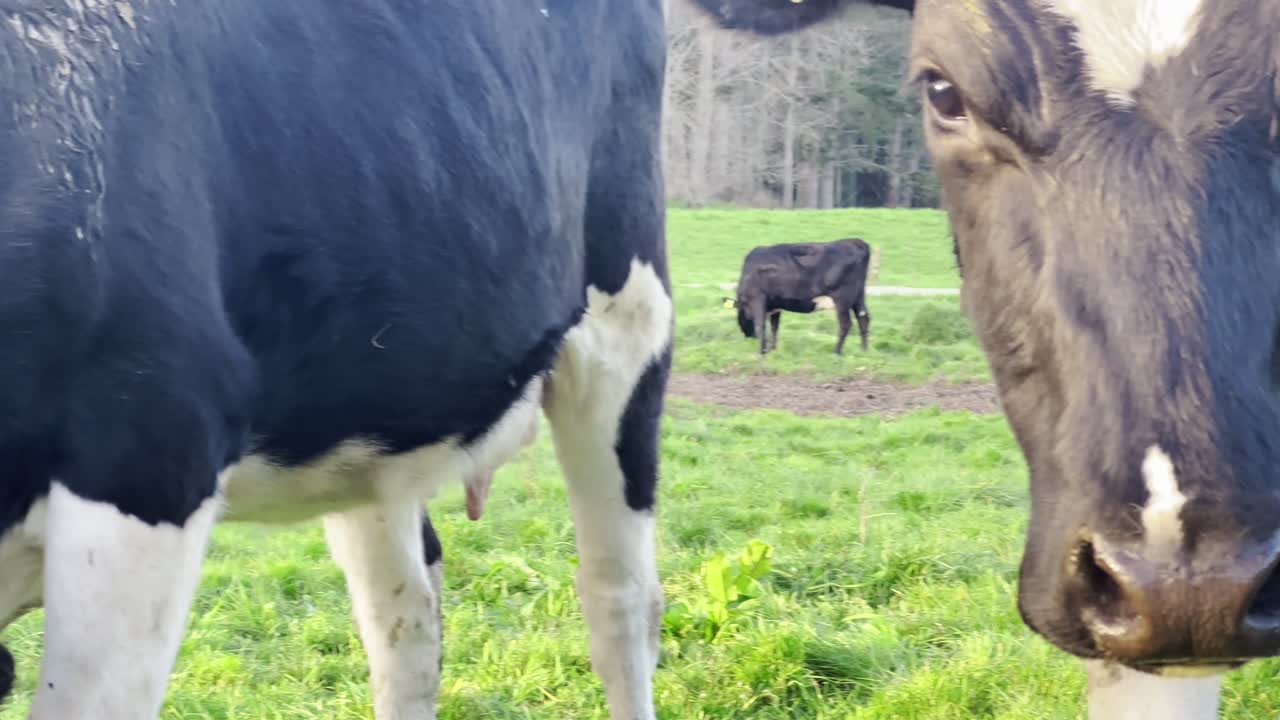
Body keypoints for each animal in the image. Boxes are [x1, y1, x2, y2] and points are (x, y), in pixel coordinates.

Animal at [725, 238, 872, 355]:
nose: (748, 337)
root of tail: (854, 242)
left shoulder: (757, 298)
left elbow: (760, 325)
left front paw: (762, 352)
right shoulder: (775, 304)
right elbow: (774, 327)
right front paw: (773, 349)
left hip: (842, 299)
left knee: (845, 324)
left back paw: (836, 352)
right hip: (858, 296)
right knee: (863, 319)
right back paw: (864, 350)